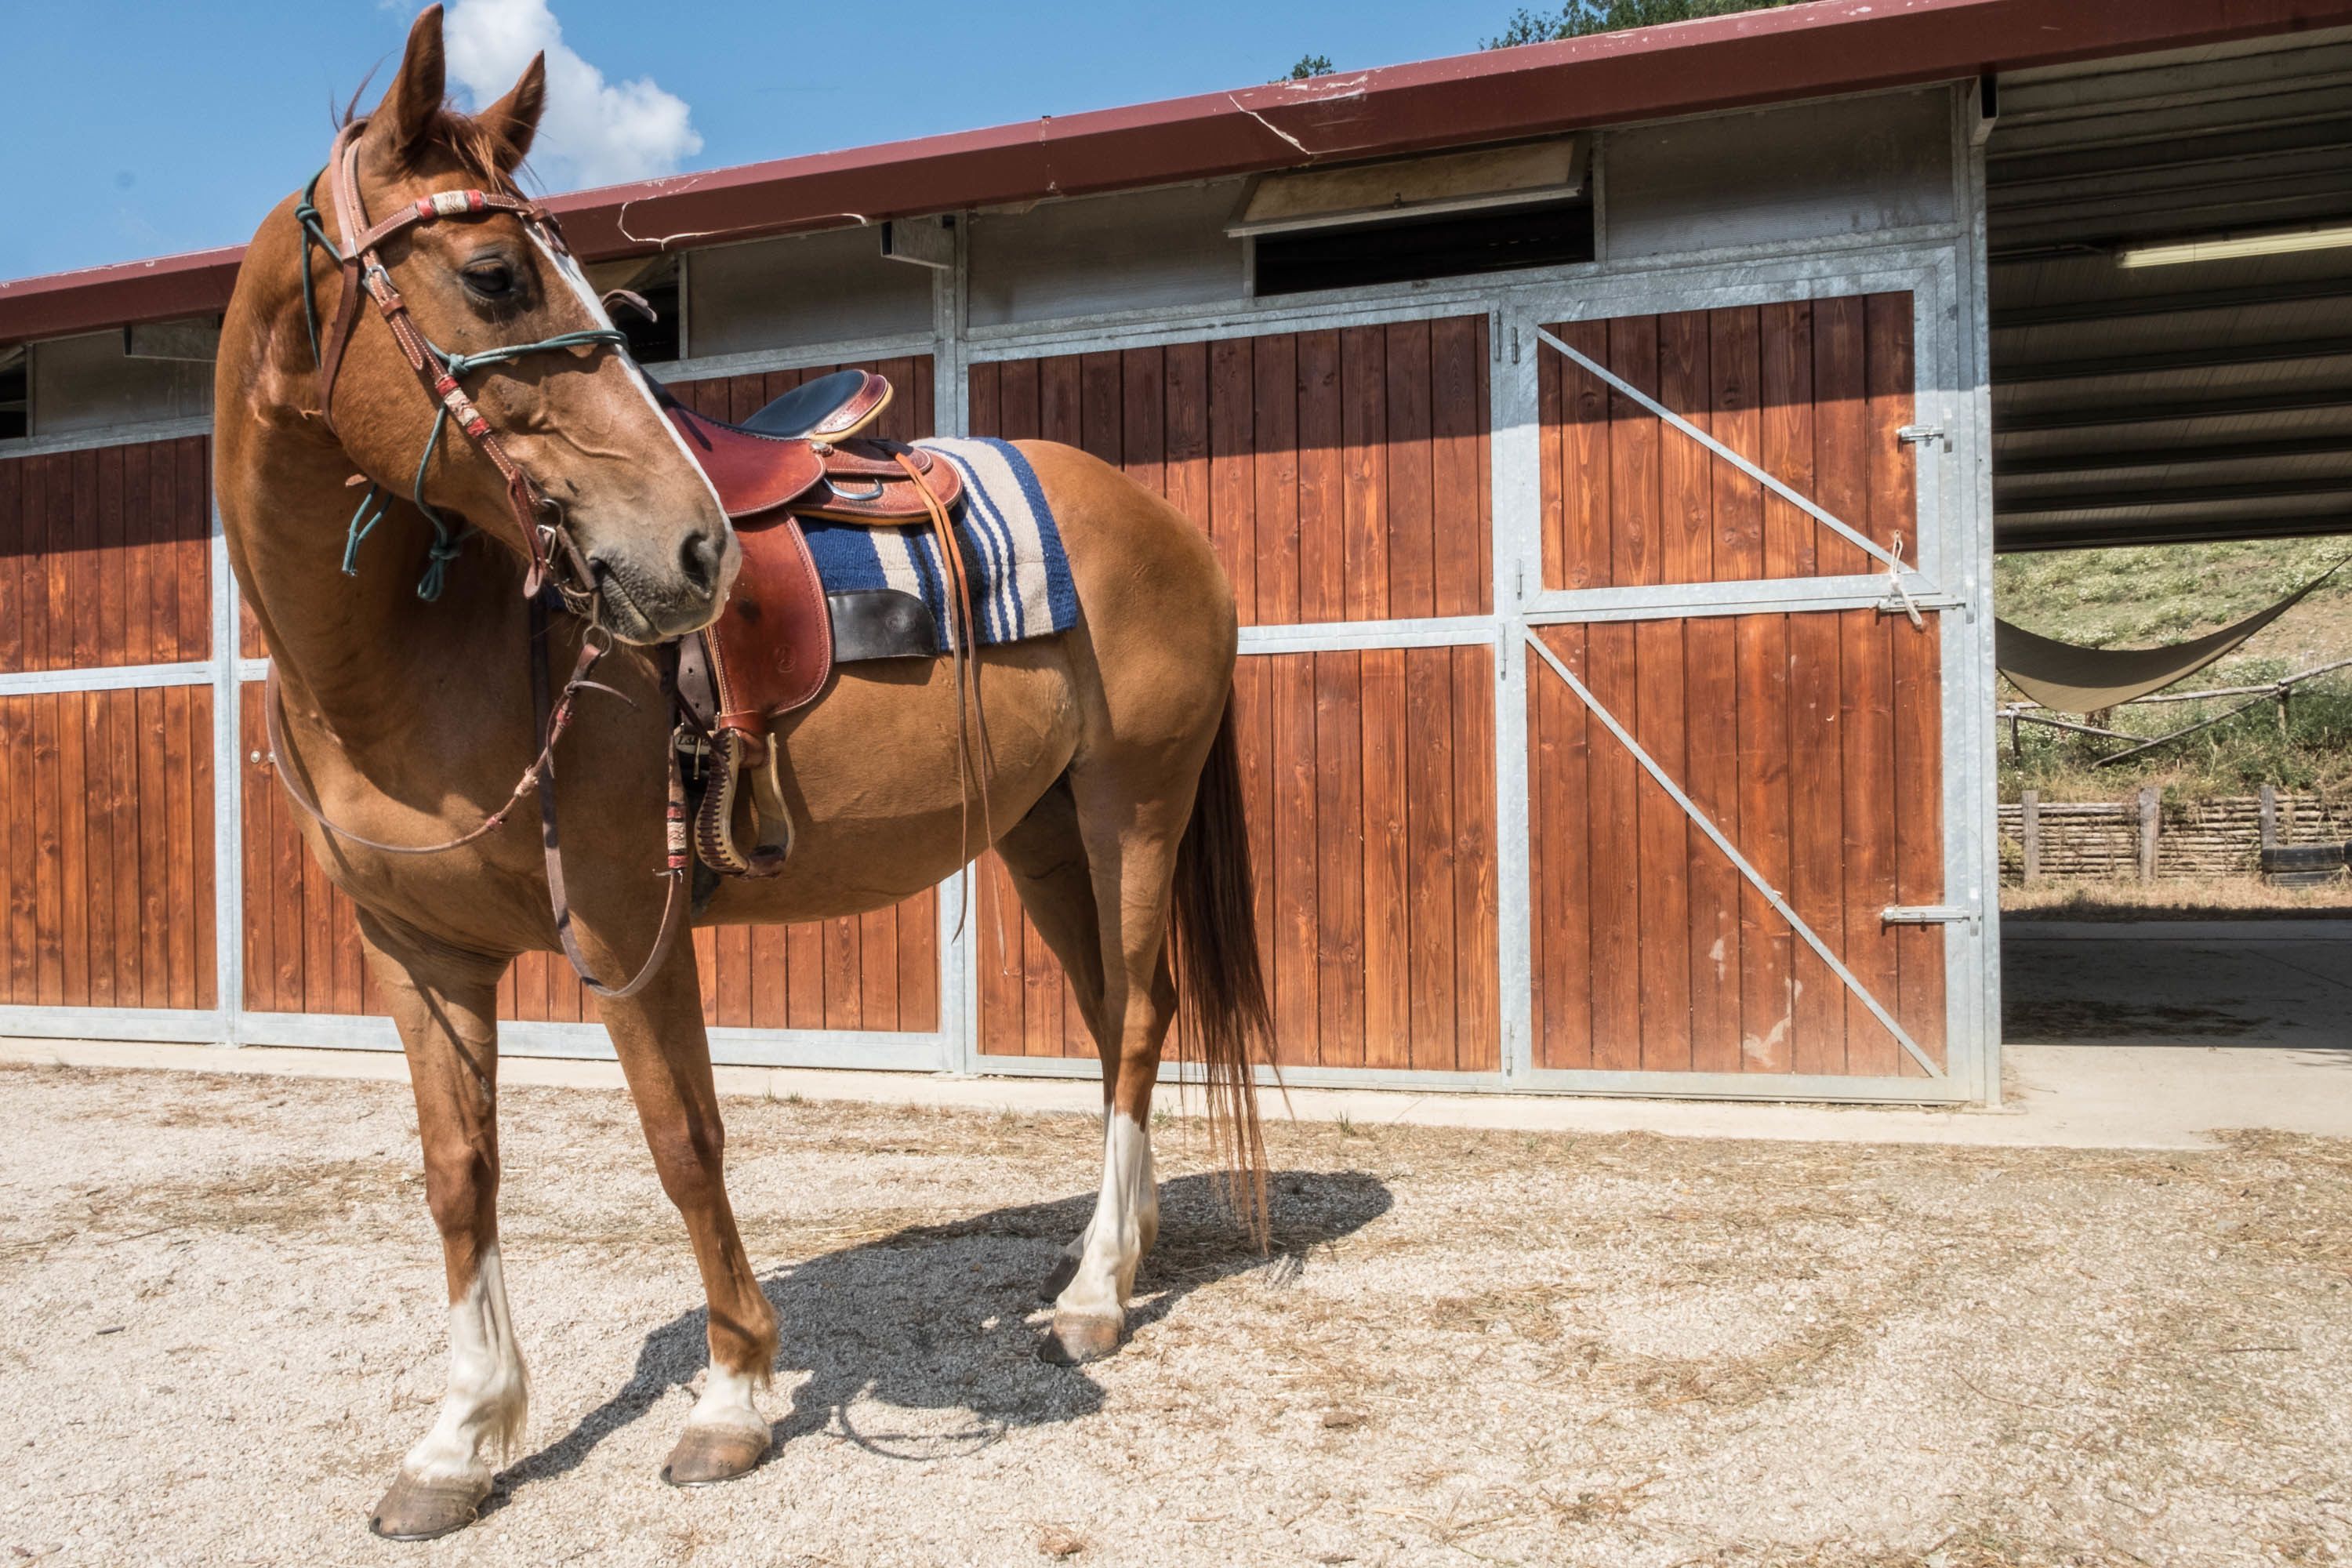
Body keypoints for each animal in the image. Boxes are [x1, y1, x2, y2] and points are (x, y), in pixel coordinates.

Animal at [214, 6, 1271, 1539]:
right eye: (493, 274)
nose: (694, 551)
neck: (418, 653)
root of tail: (1163, 522)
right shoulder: (416, 953)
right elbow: (458, 1173)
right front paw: (462, 1439)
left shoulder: (626, 931)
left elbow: (684, 1140)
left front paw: (732, 1398)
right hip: (1041, 833)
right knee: (1115, 1018)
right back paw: (1115, 1255)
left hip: (1134, 805)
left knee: (1135, 1020)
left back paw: (1091, 1299)